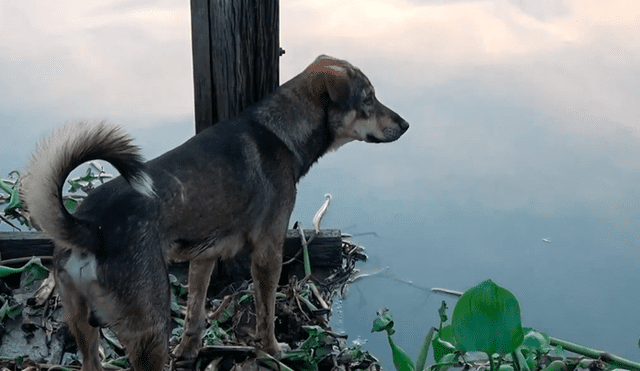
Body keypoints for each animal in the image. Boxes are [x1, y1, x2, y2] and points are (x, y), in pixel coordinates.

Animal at [23, 56, 410, 371]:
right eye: (368, 99)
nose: (405, 124)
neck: (278, 131)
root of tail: (90, 227)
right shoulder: (268, 252)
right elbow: (266, 314)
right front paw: (272, 351)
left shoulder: (204, 256)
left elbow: (195, 312)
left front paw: (190, 351)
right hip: (150, 326)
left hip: (82, 324)